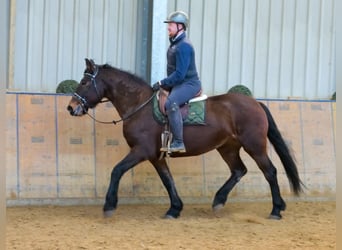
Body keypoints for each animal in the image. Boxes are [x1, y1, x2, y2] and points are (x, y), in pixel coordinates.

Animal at [67, 58, 304, 219]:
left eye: (84, 82)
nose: (71, 107)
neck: (139, 106)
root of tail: (256, 103)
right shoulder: (156, 156)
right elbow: (167, 179)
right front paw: (174, 208)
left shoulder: (141, 151)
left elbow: (117, 170)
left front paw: (109, 205)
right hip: (227, 147)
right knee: (239, 170)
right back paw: (219, 200)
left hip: (254, 146)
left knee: (270, 172)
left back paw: (276, 209)